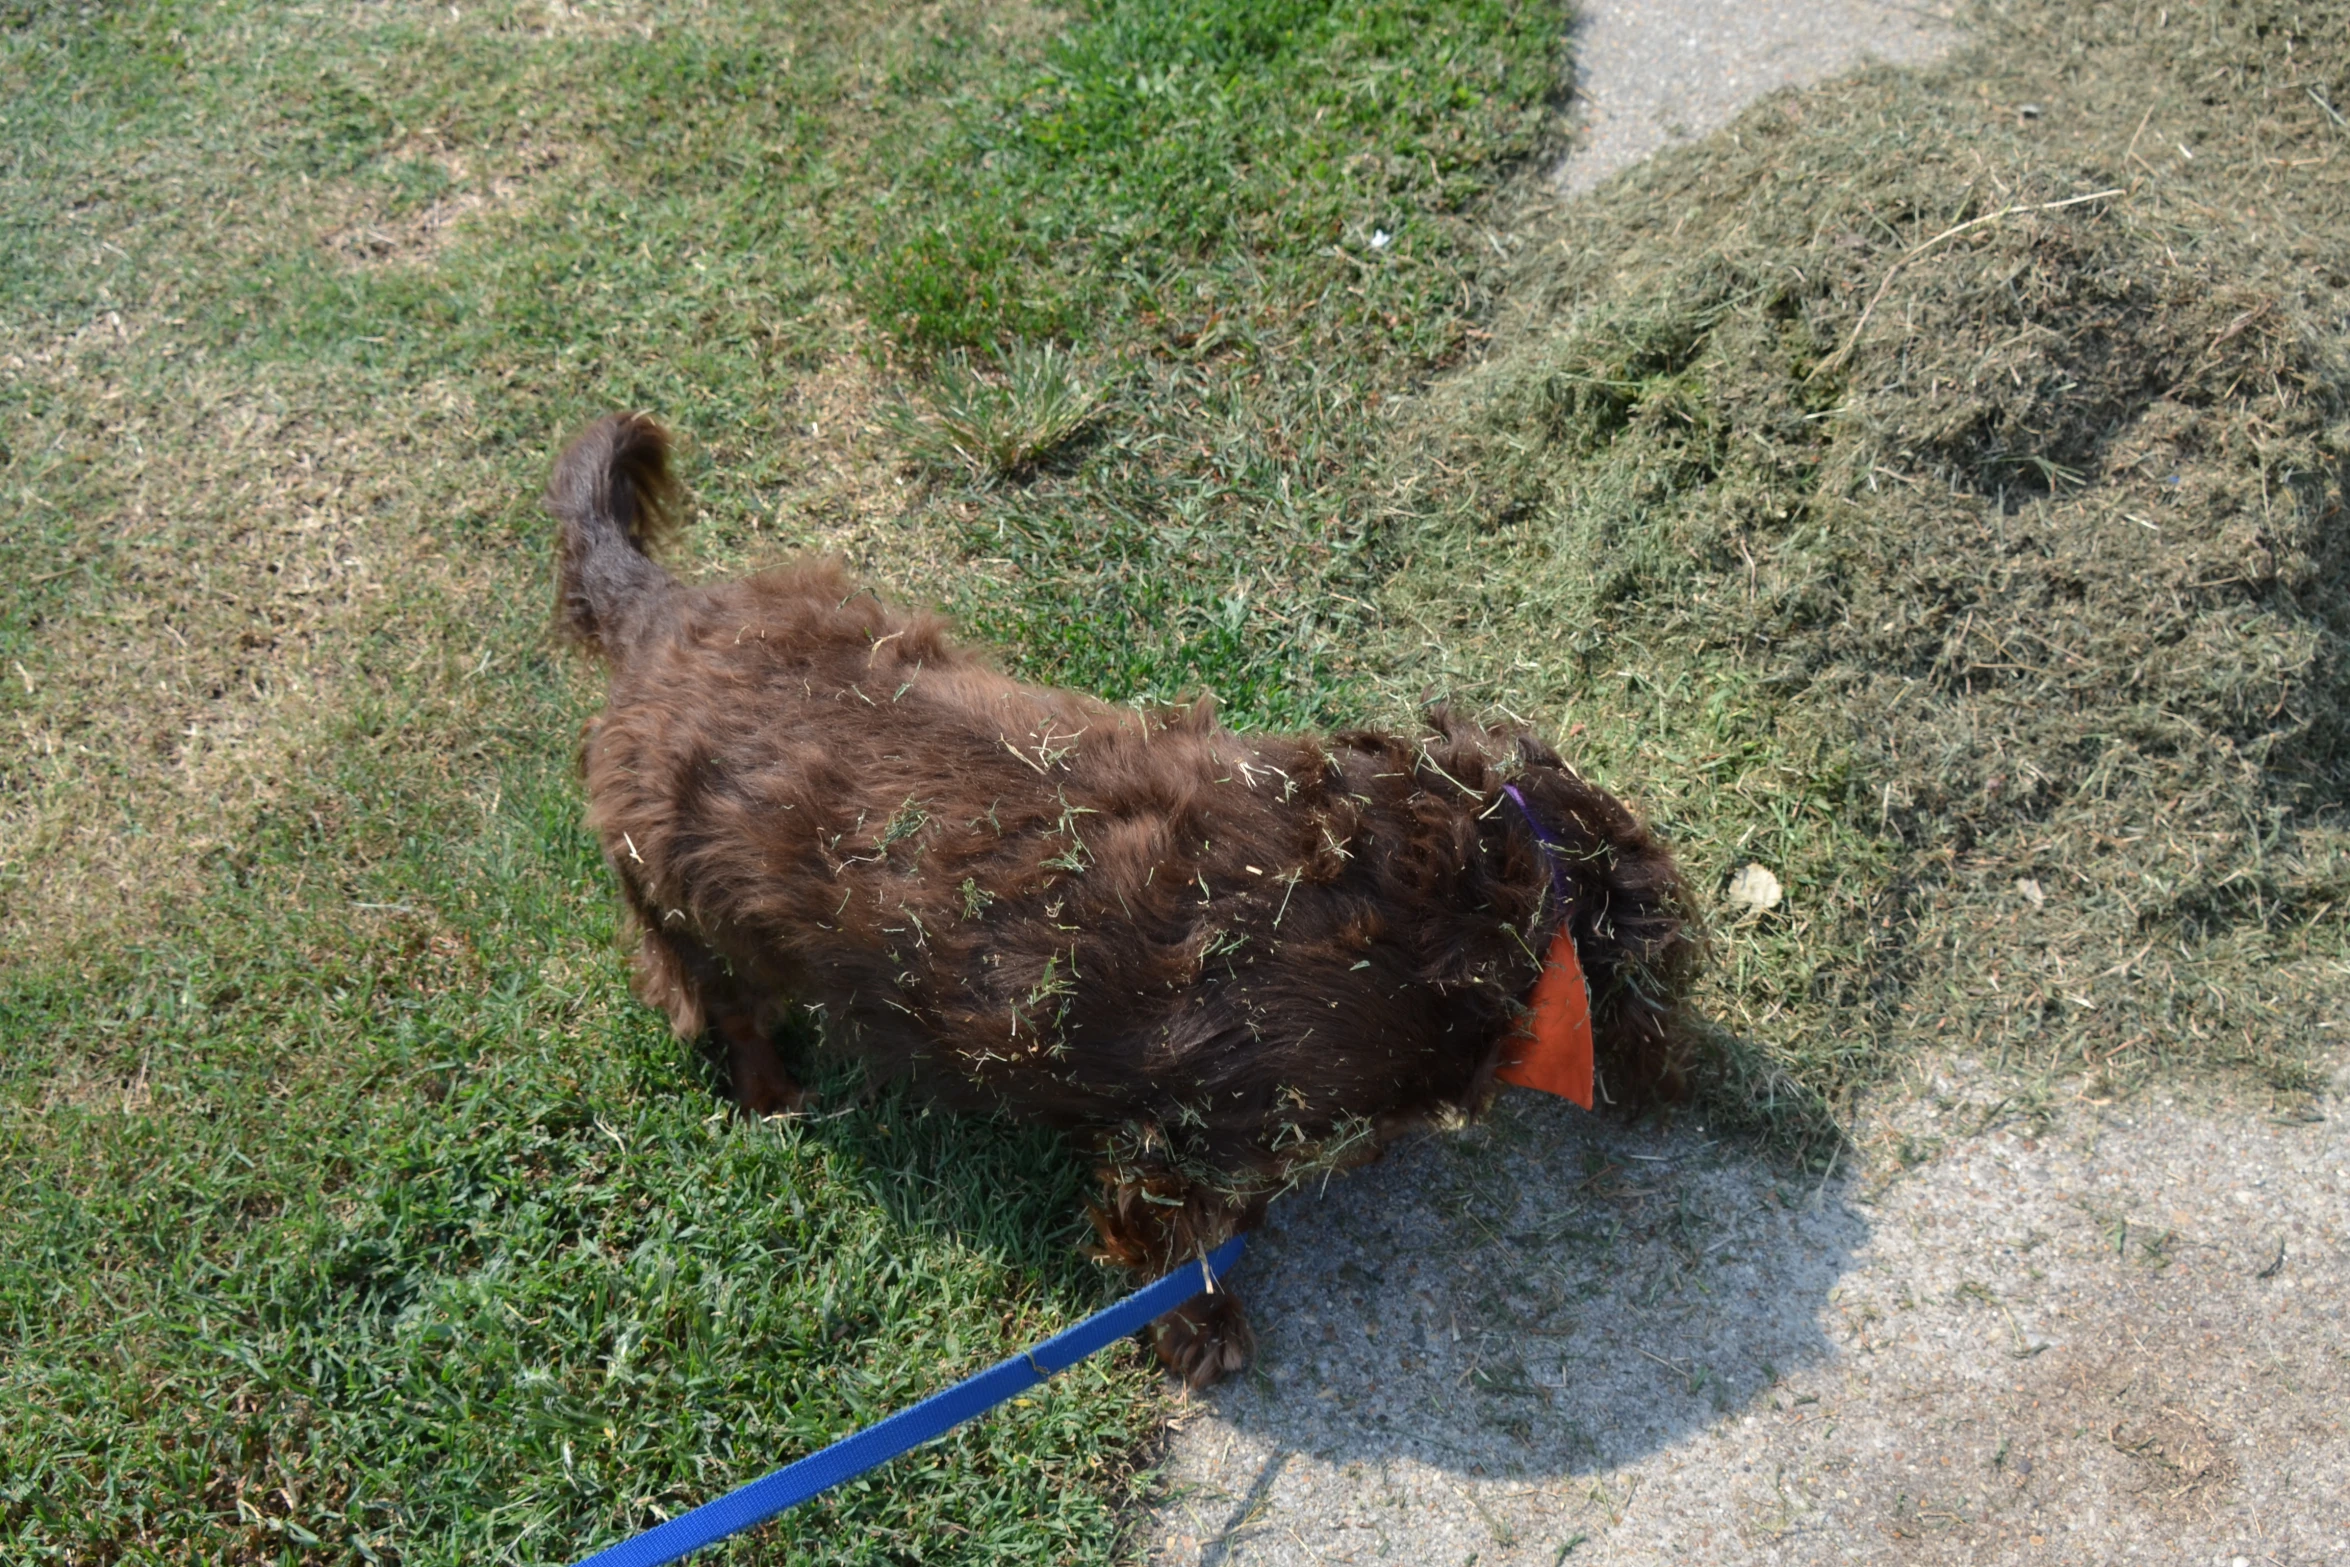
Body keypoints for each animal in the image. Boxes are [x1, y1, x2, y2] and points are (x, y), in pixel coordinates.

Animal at [549, 413, 1701, 1381]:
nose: (1691, 1086)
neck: (1470, 876)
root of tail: (660, 619)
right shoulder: (1187, 1130)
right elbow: (1176, 1247)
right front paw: (1207, 1332)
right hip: (687, 905)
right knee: (722, 1003)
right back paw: (776, 1092)